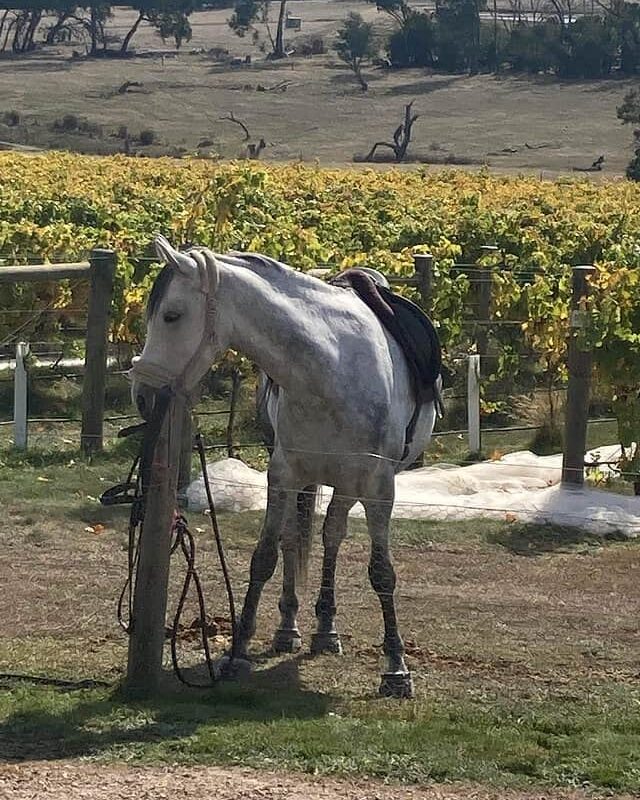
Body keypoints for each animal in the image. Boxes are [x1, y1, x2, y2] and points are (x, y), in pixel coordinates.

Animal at [130, 235, 442, 698]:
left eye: (172, 315)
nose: (142, 395)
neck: (328, 367)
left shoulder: (378, 485)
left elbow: (382, 572)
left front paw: (396, 668)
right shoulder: (283, 475)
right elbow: (265, 556)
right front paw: (238, 651)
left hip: (348, 484)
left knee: (332, 535)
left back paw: (326, 629)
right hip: (310, 481)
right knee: (300, 538)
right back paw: (292, 628)